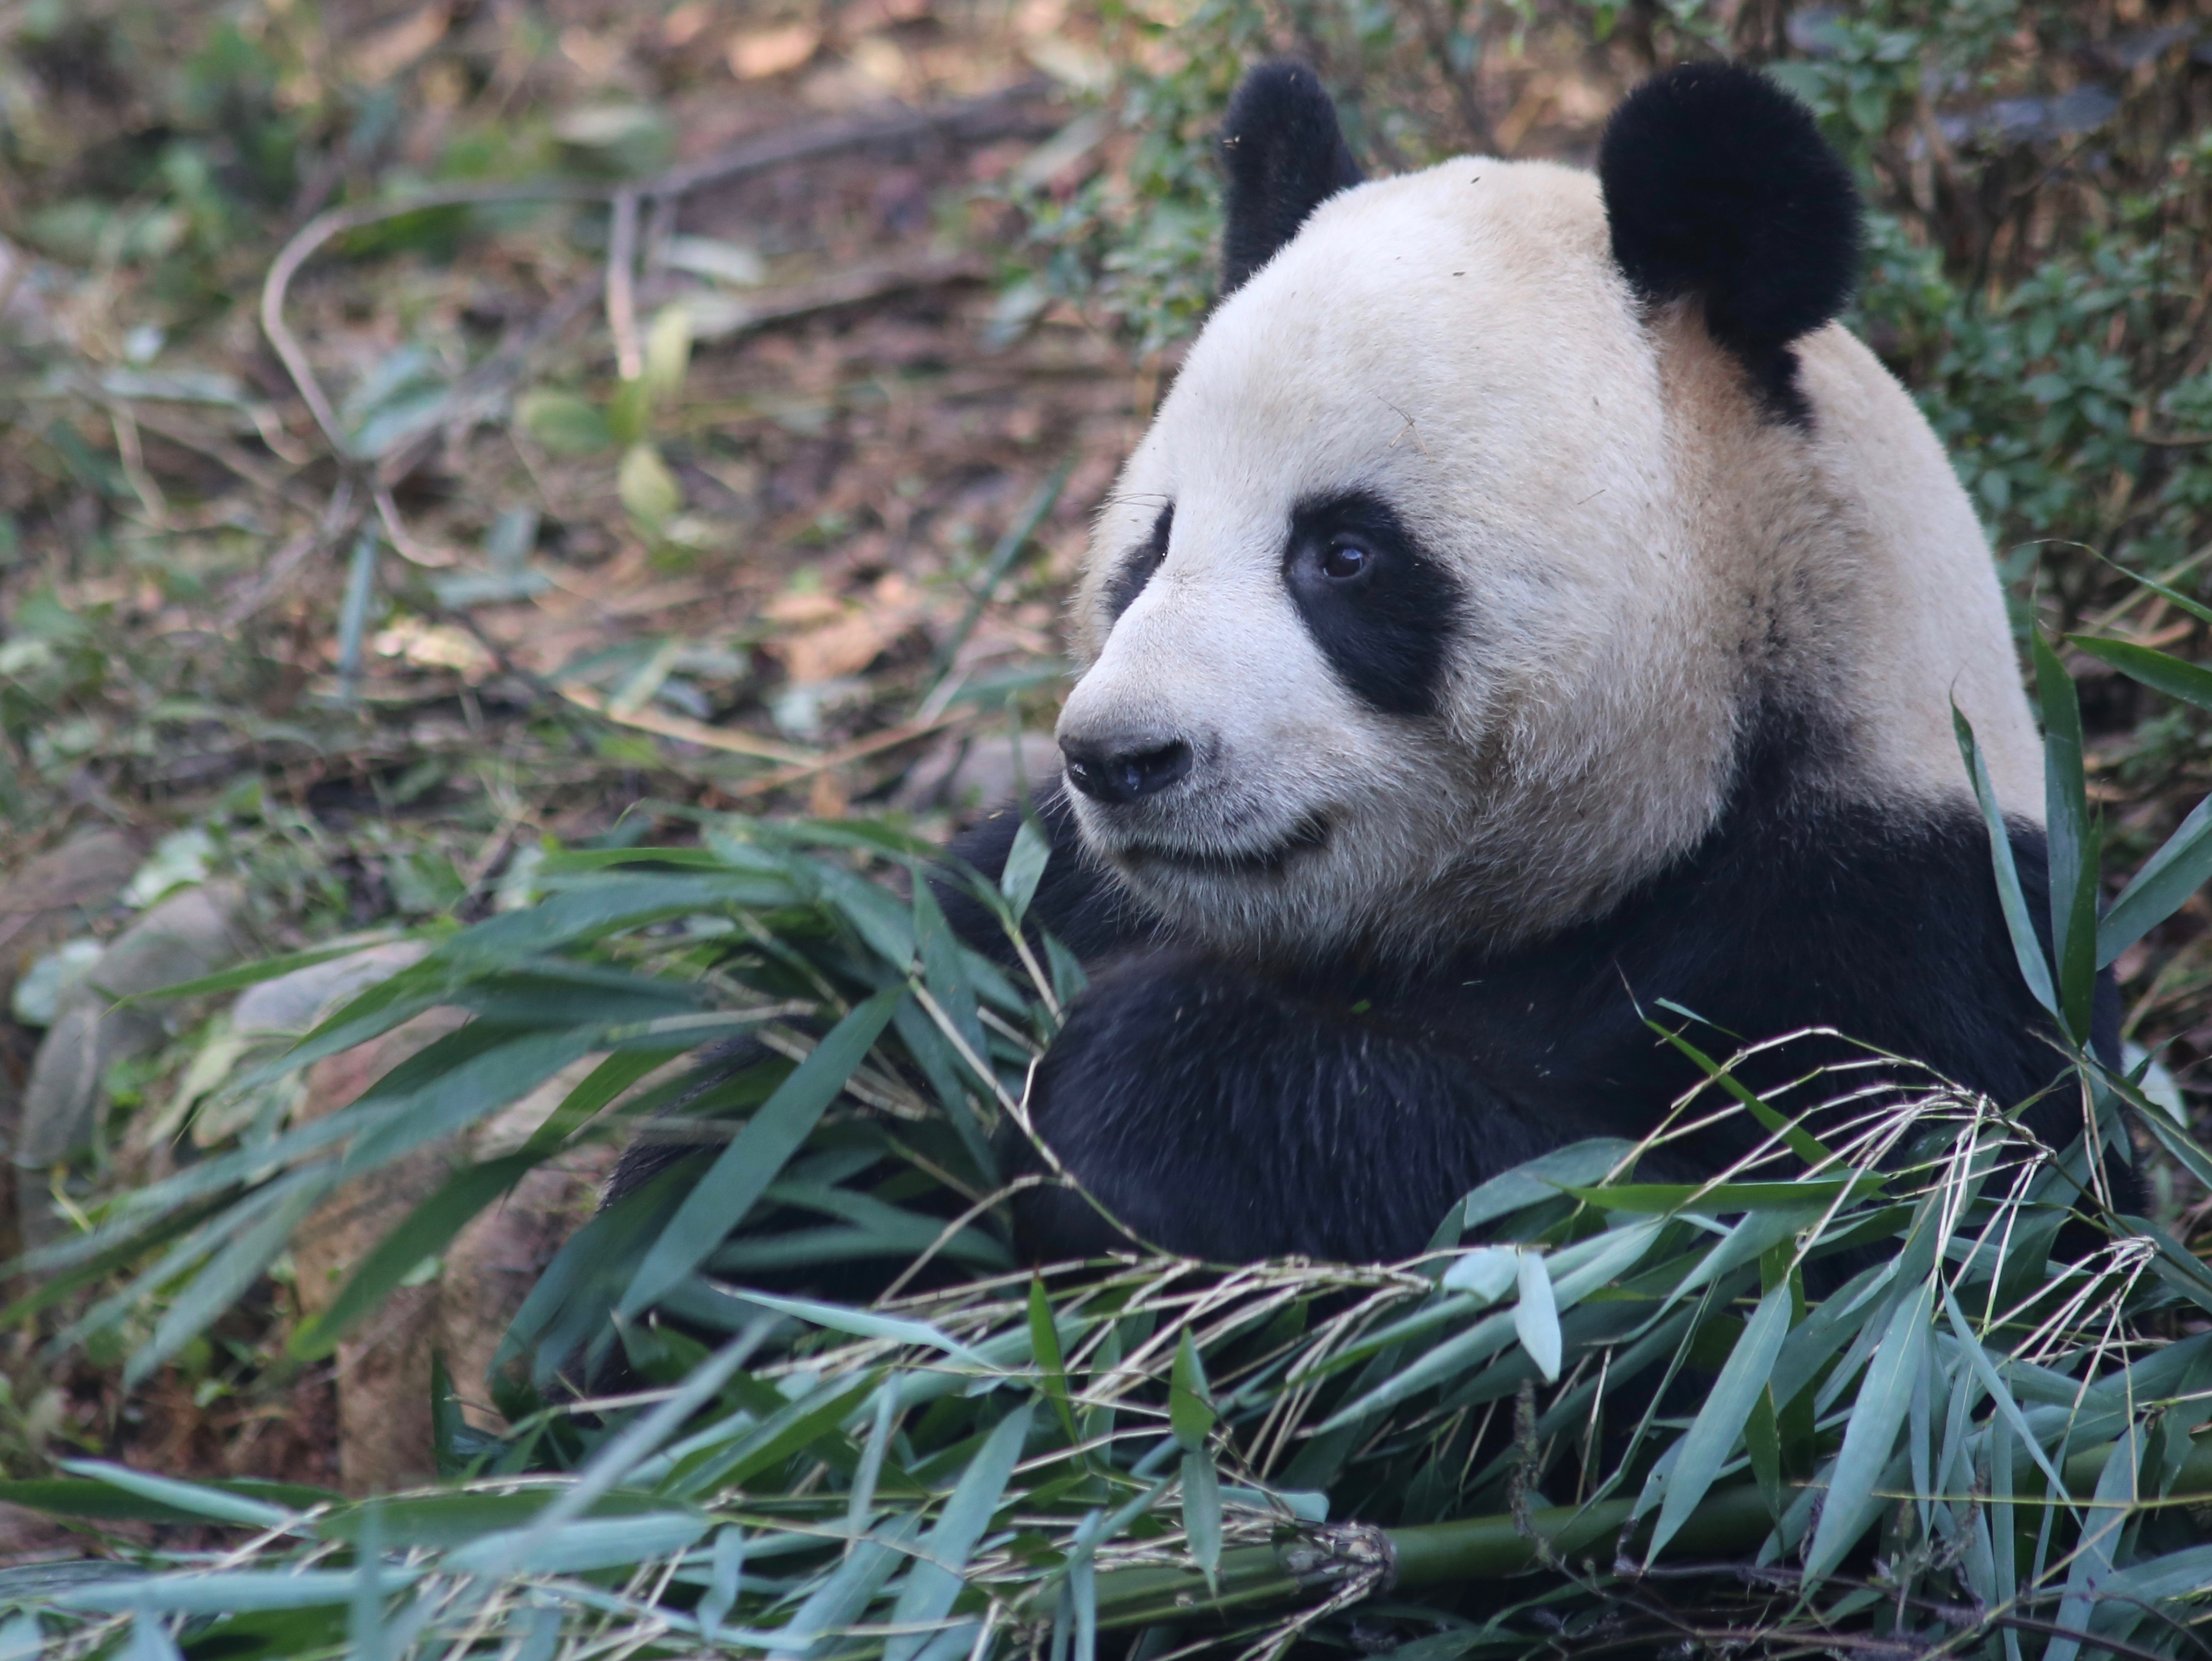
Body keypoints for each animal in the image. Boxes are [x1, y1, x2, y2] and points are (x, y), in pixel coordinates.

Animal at [938, 58, 2123, 1265]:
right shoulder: (1051, 882)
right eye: (1156, 544)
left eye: (1346, 554)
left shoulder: (1909, 932)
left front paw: (1126, 1091)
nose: (1120, 757)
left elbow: (1775, 1231)